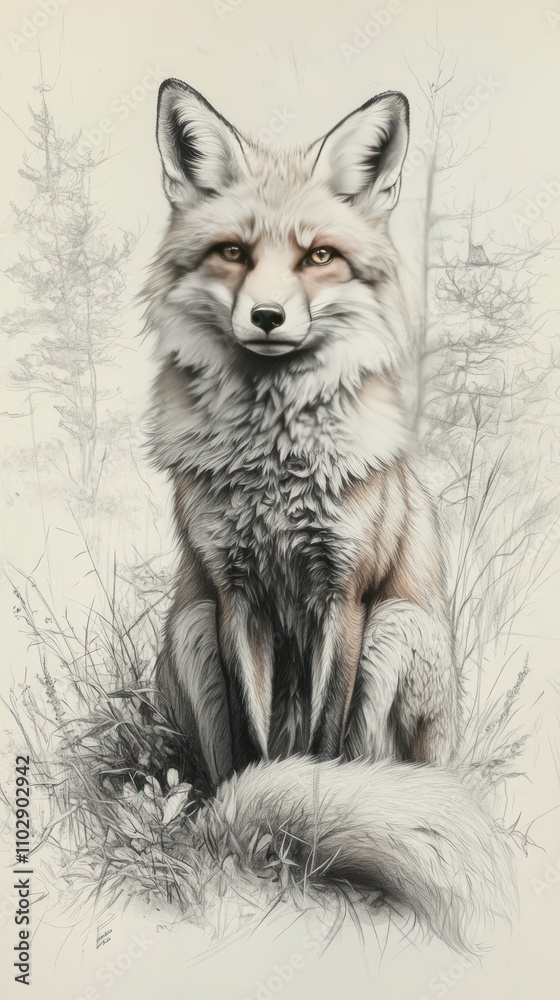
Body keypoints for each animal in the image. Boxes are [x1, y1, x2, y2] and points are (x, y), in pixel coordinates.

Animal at [144, 78, 516, 950]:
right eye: (234, 253)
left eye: (318, 256)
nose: (267, 318)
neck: (273, 466)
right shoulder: (234, 597)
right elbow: (258, 747)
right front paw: (263, 826)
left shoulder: (343, 596)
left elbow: (325, 742)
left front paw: (305, 824)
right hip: (188, 631)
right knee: (220, 759)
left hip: (397, 631)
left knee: (388, 761)